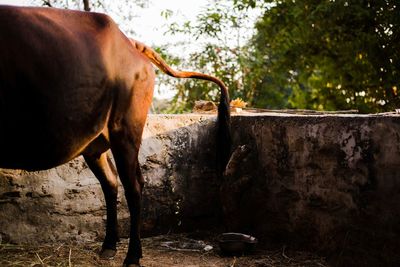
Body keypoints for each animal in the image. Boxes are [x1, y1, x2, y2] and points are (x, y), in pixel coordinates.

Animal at [0, 5, 231, 266]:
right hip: (94, 142)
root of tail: (128, 42)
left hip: (126, 130)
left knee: (133, 185)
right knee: (111, 181)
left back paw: (132, 256)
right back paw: (109, 245)